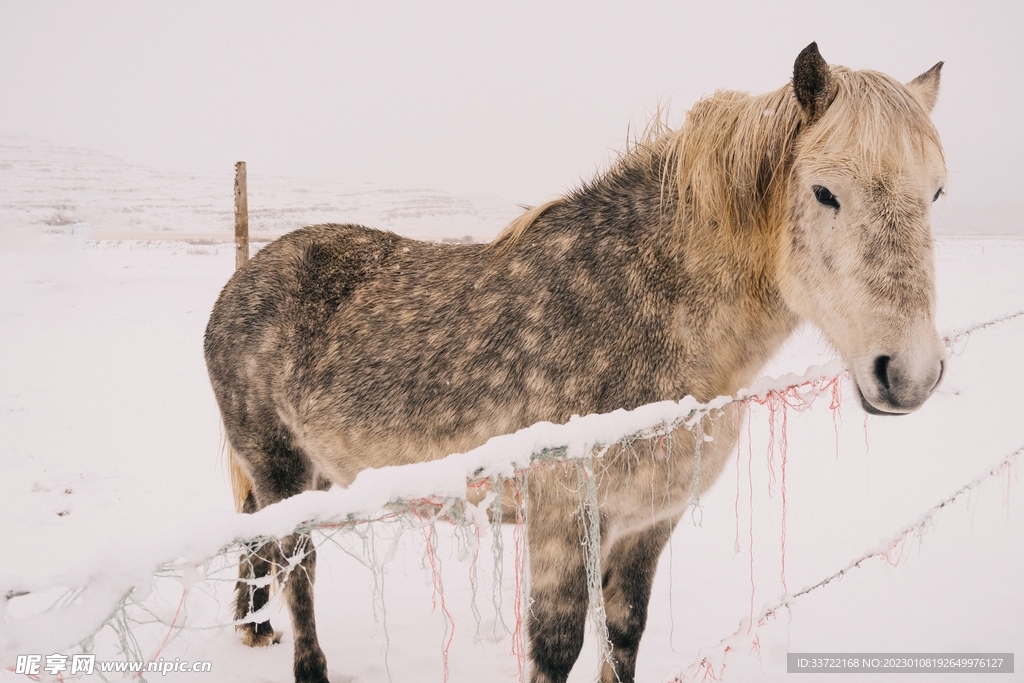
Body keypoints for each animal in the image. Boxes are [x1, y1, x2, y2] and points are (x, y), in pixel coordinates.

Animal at [204, 43, 947, 683]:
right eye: (824, 192)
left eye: (936, 194)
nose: (909, 374)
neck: (641, 309)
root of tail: (240, 283)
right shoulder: (562, 515)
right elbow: (557, 646)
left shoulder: (648, 521)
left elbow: (624, 633)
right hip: (281, 469)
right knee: (299, 568)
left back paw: (254, 626)